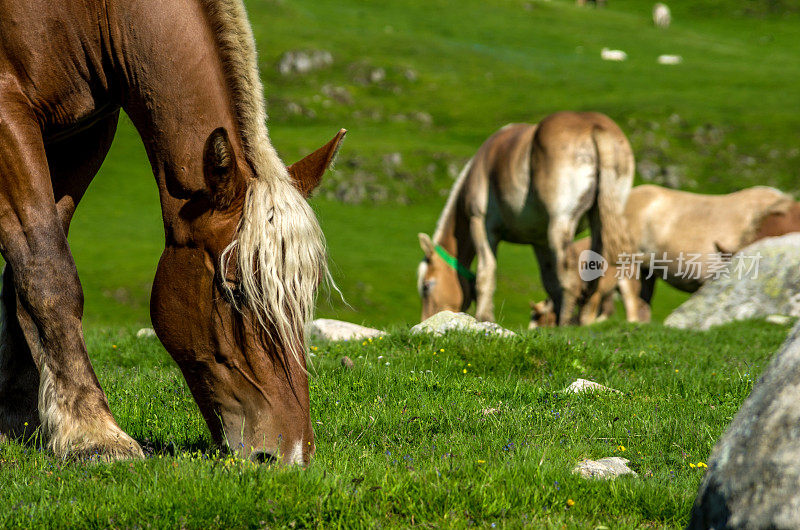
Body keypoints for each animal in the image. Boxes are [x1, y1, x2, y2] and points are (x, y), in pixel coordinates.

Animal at [0, 0, 342, 462]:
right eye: (234, 289)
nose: (290, 454)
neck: (89, 14)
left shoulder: (85, 134)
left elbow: (24, 271)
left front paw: (22, 419)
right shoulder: (9, 114)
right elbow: (47, 269)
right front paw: (92, 433)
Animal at [418, 111, 636, 324]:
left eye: (427, 286)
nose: (427, 320)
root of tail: (594, 126)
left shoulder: (481, 225)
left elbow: (486, 273)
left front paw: (484, 317)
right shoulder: (540, 241)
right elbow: (550, 281)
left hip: (561, 222)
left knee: (570, 275)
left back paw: (566, 321)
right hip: (601, 218)